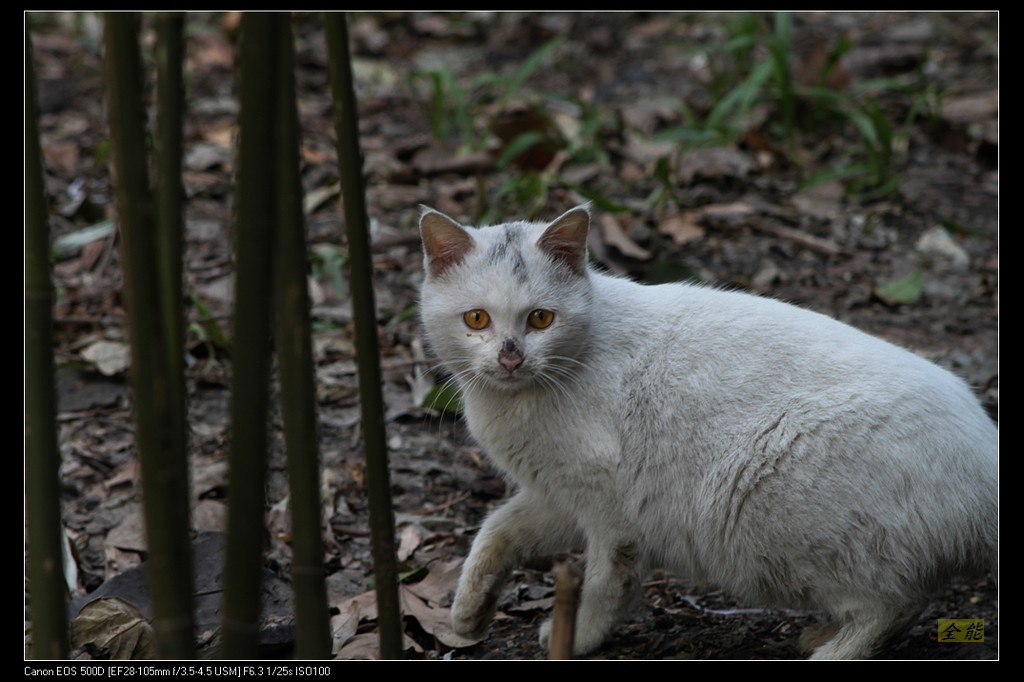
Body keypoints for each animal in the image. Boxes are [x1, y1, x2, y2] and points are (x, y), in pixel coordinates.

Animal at [413, 204, 991, 655]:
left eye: (540, 319)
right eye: (477, 320)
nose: (510, 357)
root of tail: (987, 464)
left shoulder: (610, 513)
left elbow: (605, 586)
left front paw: (576, 638)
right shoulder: (556, 494)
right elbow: (495, 530)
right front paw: (467, 614)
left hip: (764, 495)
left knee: (896, 603)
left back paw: (833, 650)